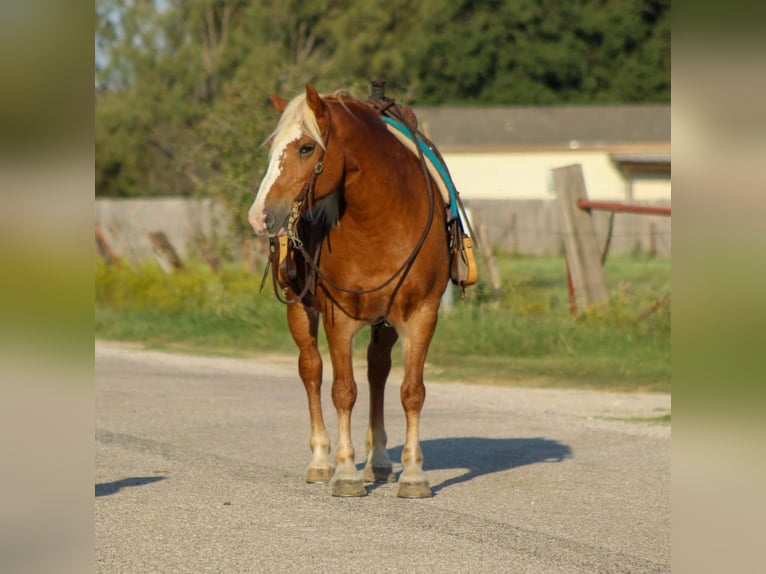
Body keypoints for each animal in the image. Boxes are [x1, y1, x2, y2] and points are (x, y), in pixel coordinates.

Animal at [248, 84, 451, 498]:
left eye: (306, 147)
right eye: (273, 146)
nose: (259, 215)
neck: (383, 220)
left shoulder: (422, 313)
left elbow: (412, 391)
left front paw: (413, 474)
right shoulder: (337, 317)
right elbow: (343, 389)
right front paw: (344, 471)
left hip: (385, 323)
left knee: (378, 370)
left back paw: (380, 460)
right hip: (300, 310)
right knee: (311, 370)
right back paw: (321, 460)